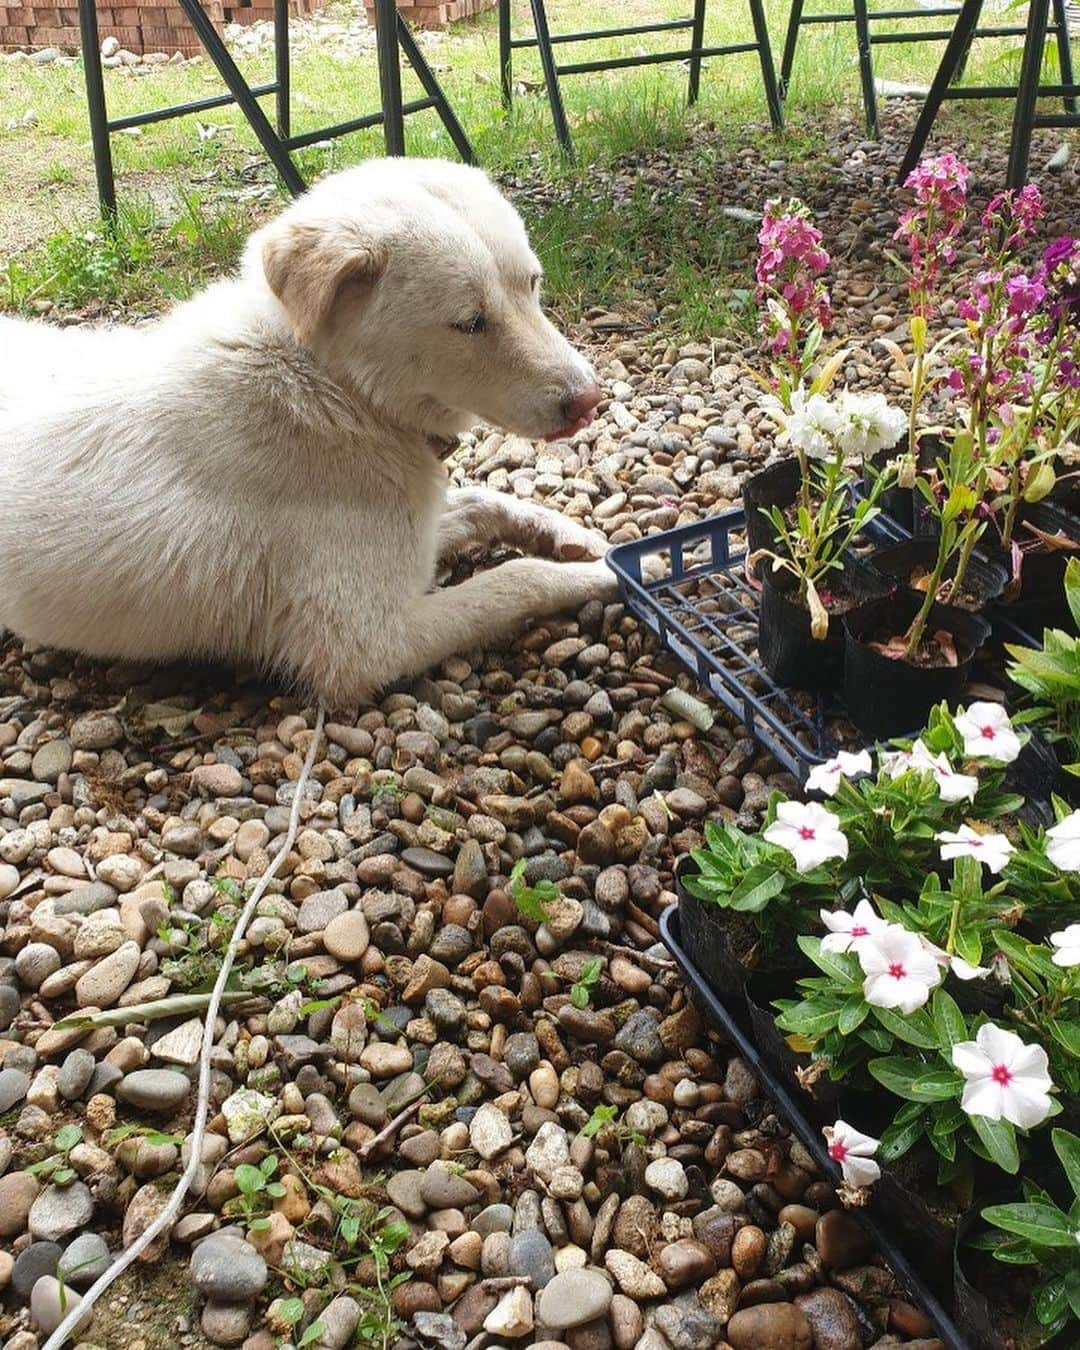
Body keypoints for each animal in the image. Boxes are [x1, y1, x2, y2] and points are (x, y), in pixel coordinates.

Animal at [0, 157, 615, 707]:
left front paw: (569, 535)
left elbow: (483, 502)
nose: (590, 401)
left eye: (532, 284)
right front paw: (603, 574)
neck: (336, 390)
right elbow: (520, 579)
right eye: (469, 323)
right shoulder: (366, 645)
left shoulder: (409, 537)